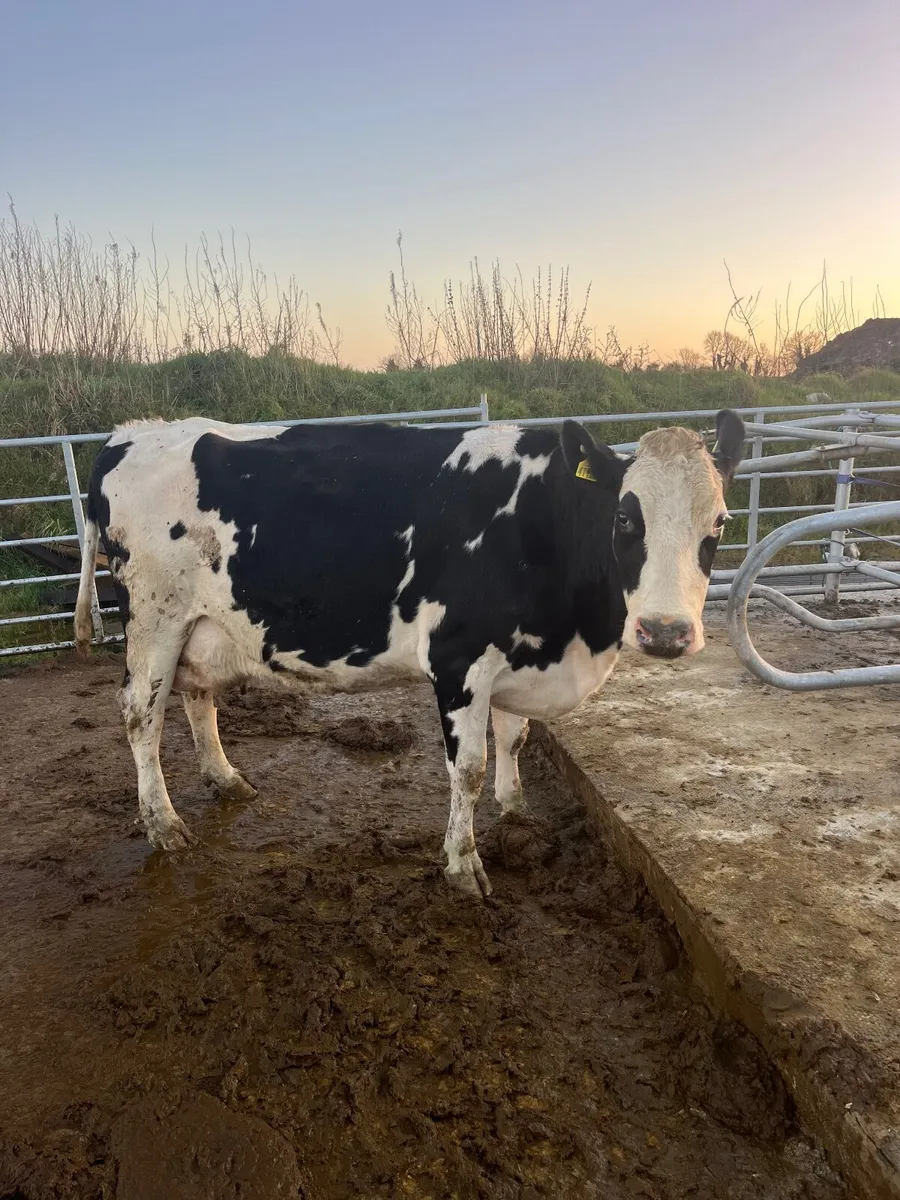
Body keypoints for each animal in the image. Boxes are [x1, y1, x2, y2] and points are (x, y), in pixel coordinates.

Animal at [74, 410, 745, 898]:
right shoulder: (460, 658)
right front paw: (464, 865)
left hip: (203, 626)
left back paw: (226, 779)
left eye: (719, 522)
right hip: (156, 619)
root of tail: (133, 433)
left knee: (196, 695)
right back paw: (163, 824)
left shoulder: (519, 655)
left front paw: (517, 813)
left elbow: (515, 738)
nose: (666, 631)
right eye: (626, 519)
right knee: (140, 715)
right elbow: (468, 768)